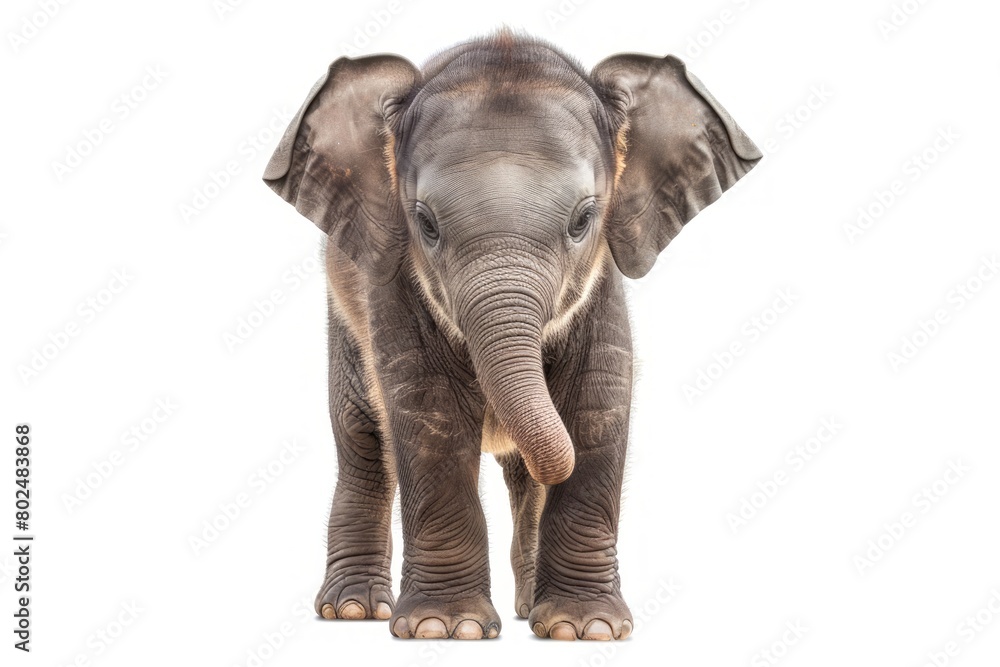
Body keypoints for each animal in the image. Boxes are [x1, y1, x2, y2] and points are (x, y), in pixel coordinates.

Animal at [263, 30, 760, 641]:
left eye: (583, 221)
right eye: (425, 224)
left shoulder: (604, 286)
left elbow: (598, 404)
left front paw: (583, 628)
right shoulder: (393, 283)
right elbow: (429, 413)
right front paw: (444, 628)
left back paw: (526, 608)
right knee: (361, 437)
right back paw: (353, 610)